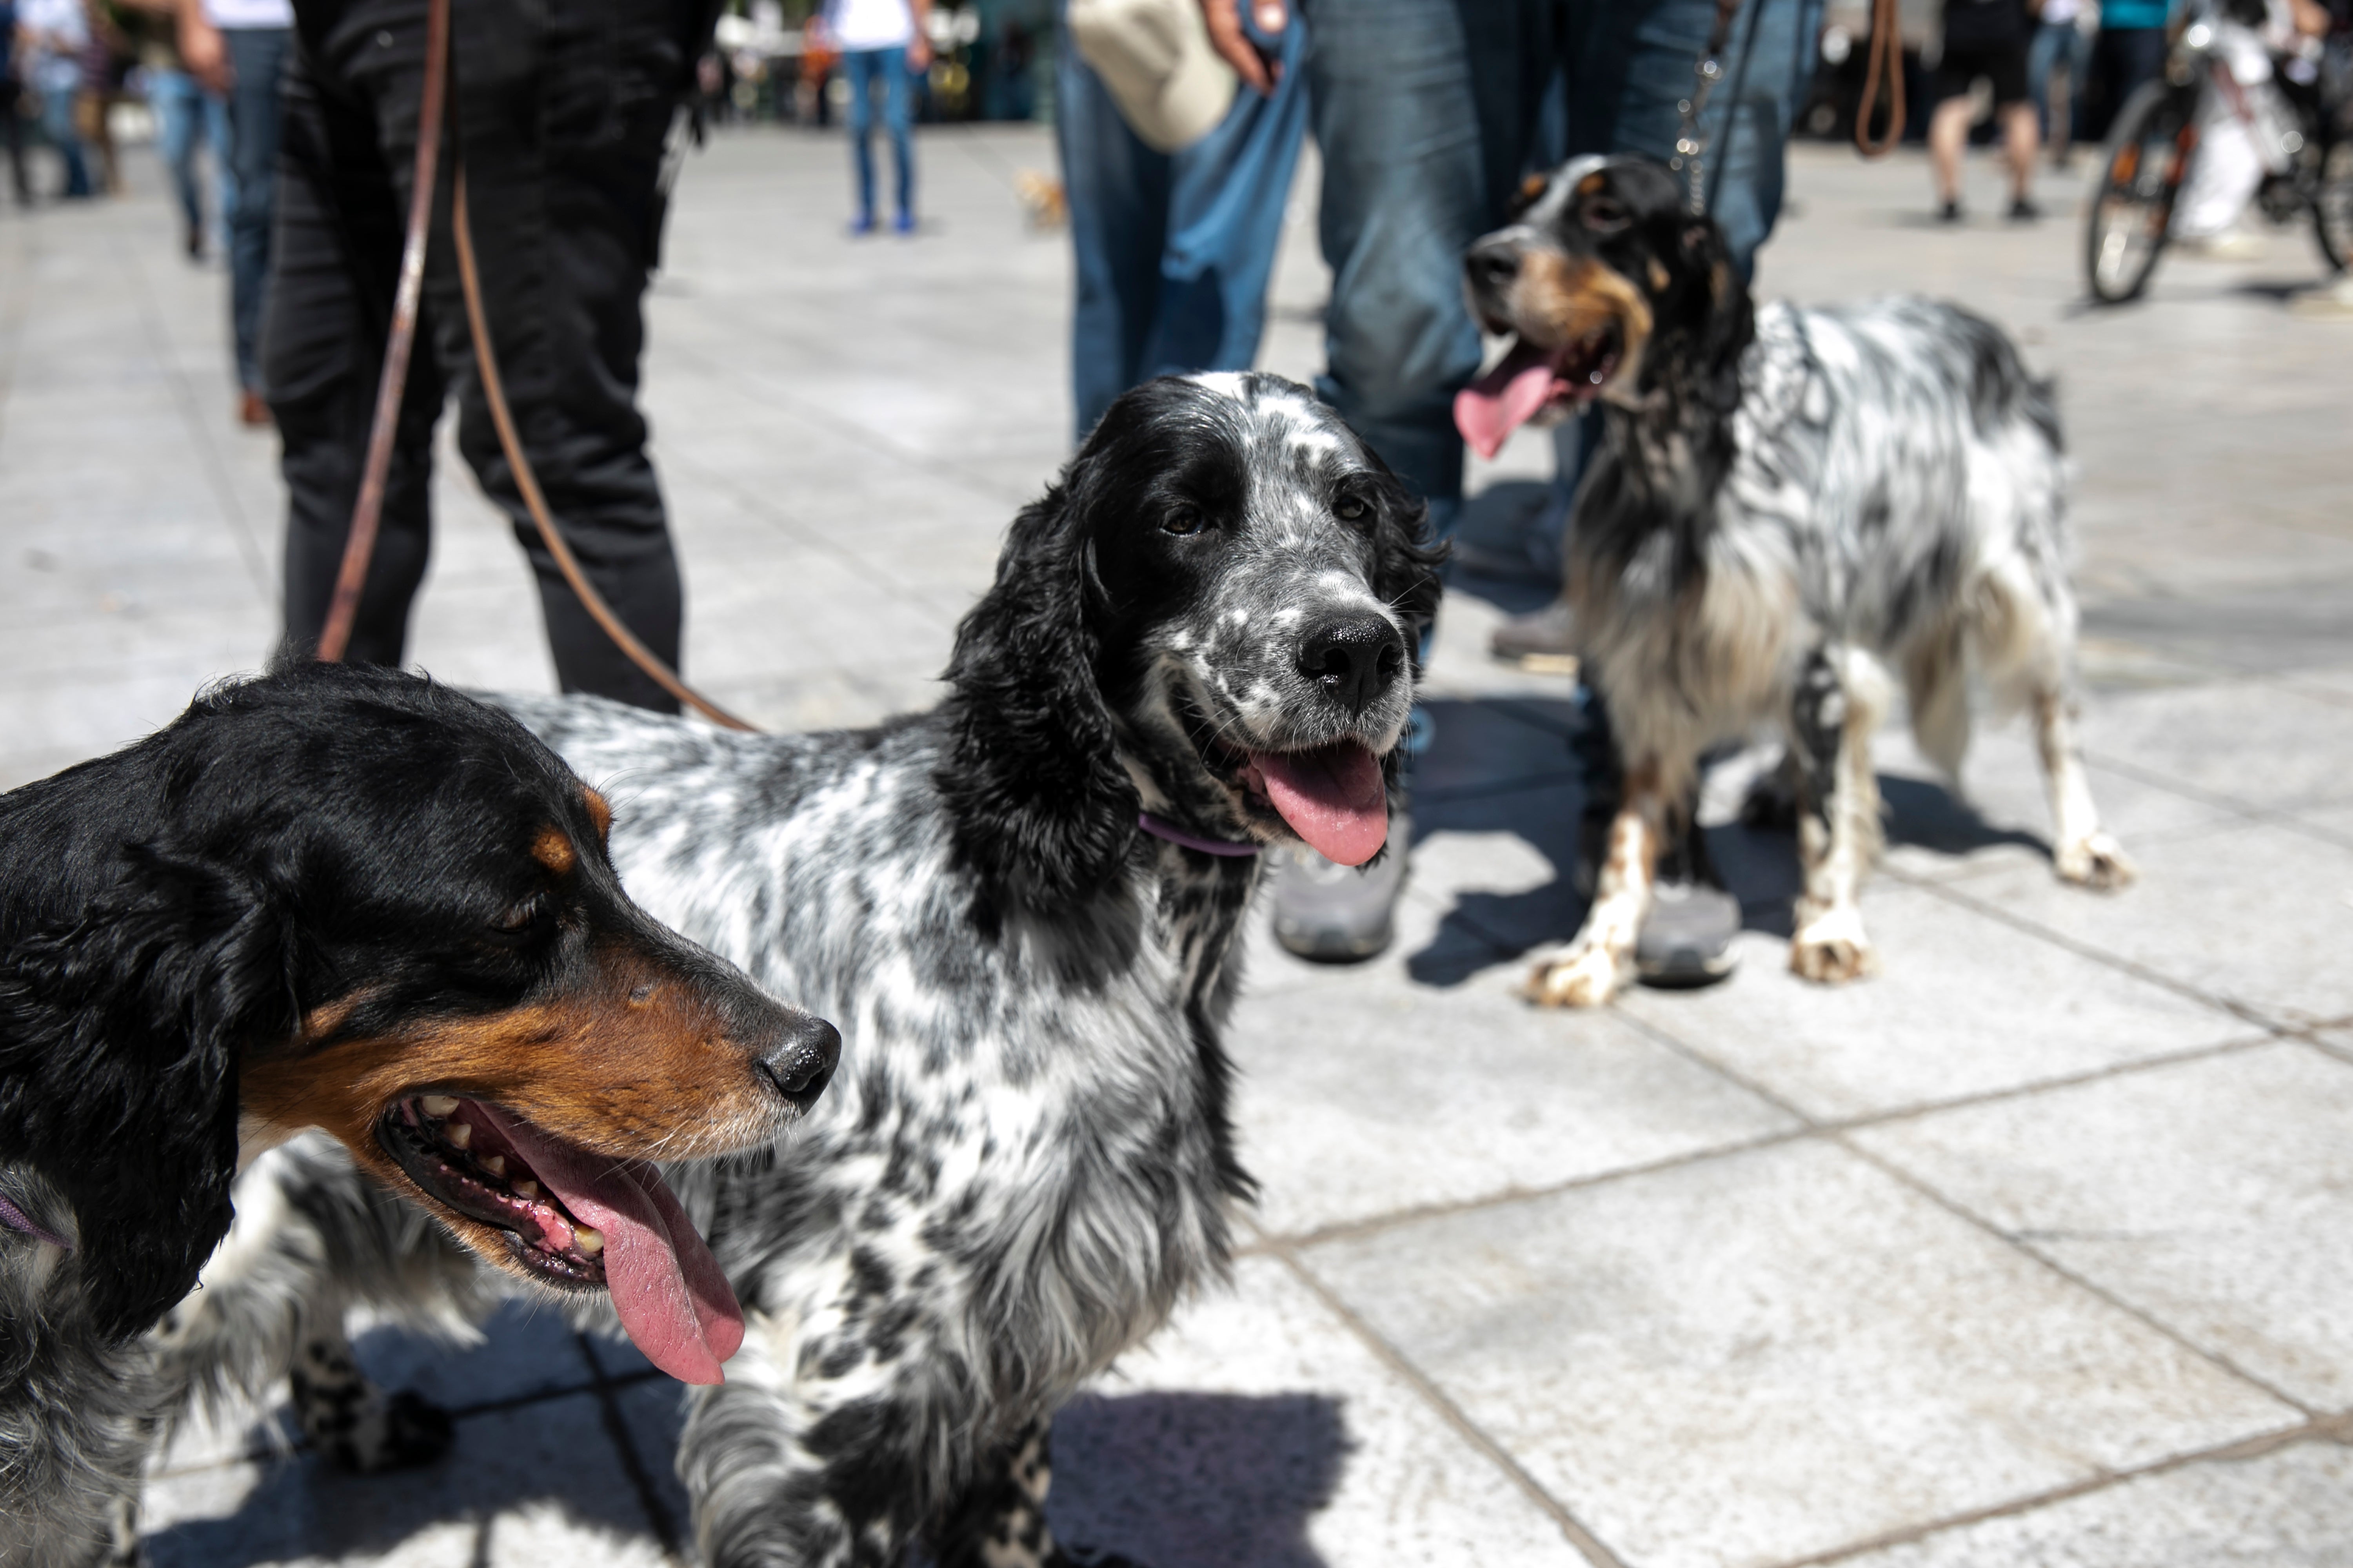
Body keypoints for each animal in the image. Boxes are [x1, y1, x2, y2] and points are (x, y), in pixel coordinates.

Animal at [1449, 150, 2136, 1006]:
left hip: (2026, 587)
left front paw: (1829, 927)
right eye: (1523, 202)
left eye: (1607, 215)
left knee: (2053, 722)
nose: (1482, 260)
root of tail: (1982, 331)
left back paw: (2085, 840)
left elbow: (1828, 817)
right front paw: (1595, 953)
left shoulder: (1807, 650)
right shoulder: (1651, 656)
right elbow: (1629, 838)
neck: (1689, 452)